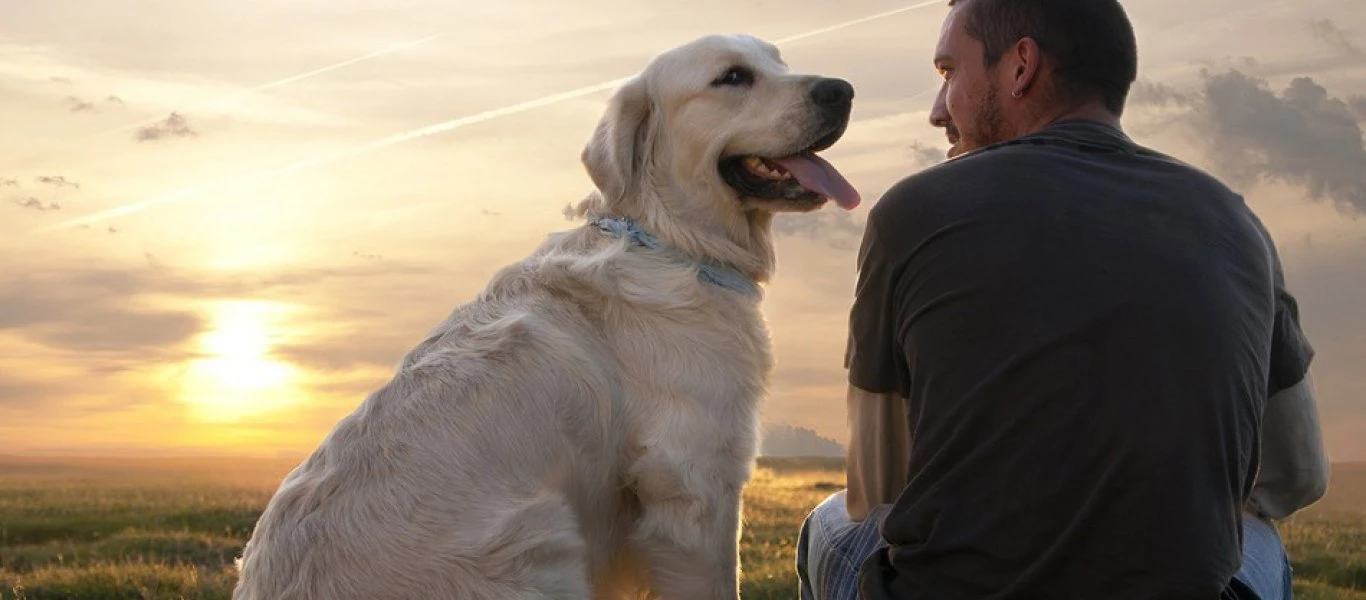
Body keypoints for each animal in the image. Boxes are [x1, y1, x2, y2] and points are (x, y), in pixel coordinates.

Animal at [229, 32, 857, 600]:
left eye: (779, 61)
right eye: (732, 77)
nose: (842, 89)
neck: (669, 240)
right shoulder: (694, 482)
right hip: (539, 533)